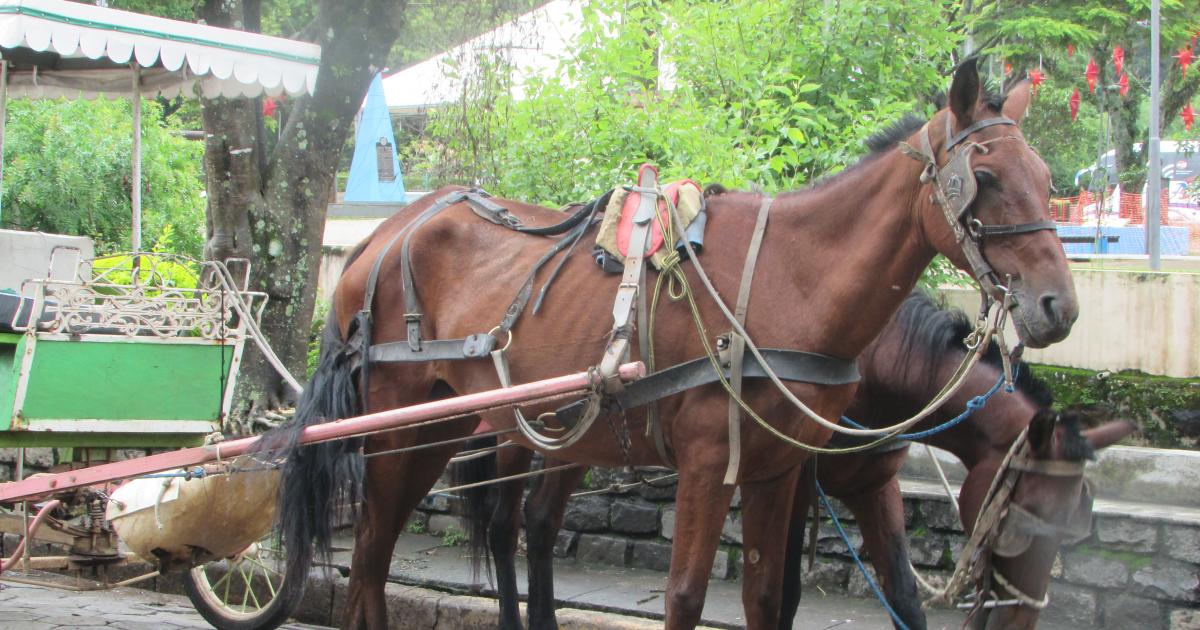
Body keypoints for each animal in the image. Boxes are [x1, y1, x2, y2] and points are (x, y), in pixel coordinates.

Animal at [458, 291, 1132, 628]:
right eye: (1024, 521)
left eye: (1076, 527)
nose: (1021, 621)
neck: (874, 369)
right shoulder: (795, 481)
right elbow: (783, 594)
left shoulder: (874, 483)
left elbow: (903, 593)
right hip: (518, 433)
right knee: (505, 526)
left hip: (581, 439)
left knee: (542, 522)